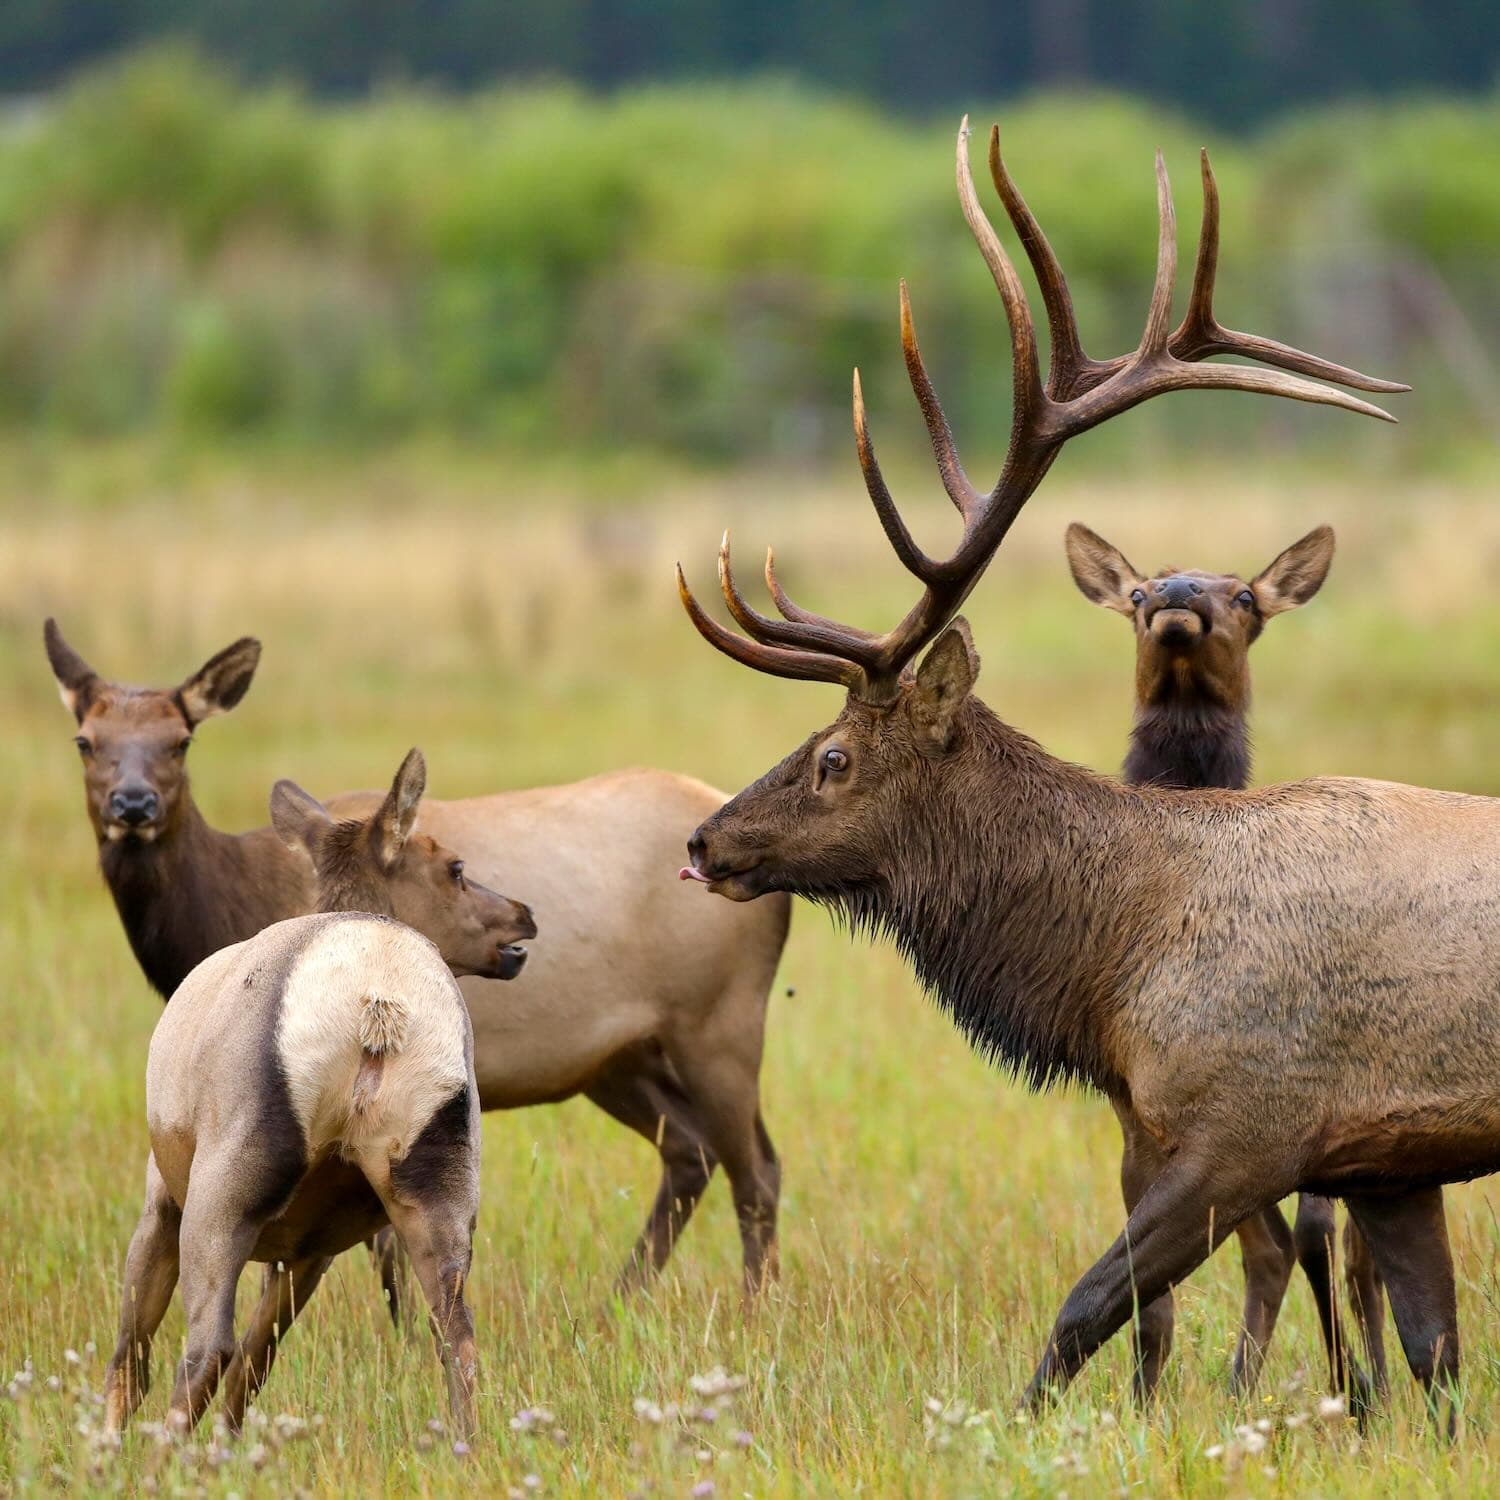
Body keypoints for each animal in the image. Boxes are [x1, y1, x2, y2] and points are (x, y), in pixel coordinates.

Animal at [46, 620, 790, 1307]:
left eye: (181, 740)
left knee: (756, 1169)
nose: (133, 806)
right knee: (691, 1153)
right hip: (618, 1056)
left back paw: (752, 1313)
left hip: (718, 1020)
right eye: (85, 741)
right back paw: (619, 1301)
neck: (230, 908)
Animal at [103, 749, 536, 1440]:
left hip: (225, 1187)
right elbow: (258, 1358)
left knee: (205, 1346)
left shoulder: (160, 1196)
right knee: (455, 1336)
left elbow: (132, 1354)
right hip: (432, 1186)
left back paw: (163, 1455)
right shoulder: (313, 1245)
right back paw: (470, 1447)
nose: (524, 914)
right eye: (456, 868)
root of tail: (376, 1000)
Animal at [1066, 521, 1397, 1406]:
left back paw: (1369, 1385)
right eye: (1138, 592)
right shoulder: (1145, 1118)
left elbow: (1308, 1240)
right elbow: (1166, 1284)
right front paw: (1147, 1402)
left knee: (1347, 1257)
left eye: (1245, 595)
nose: (1178, 596)